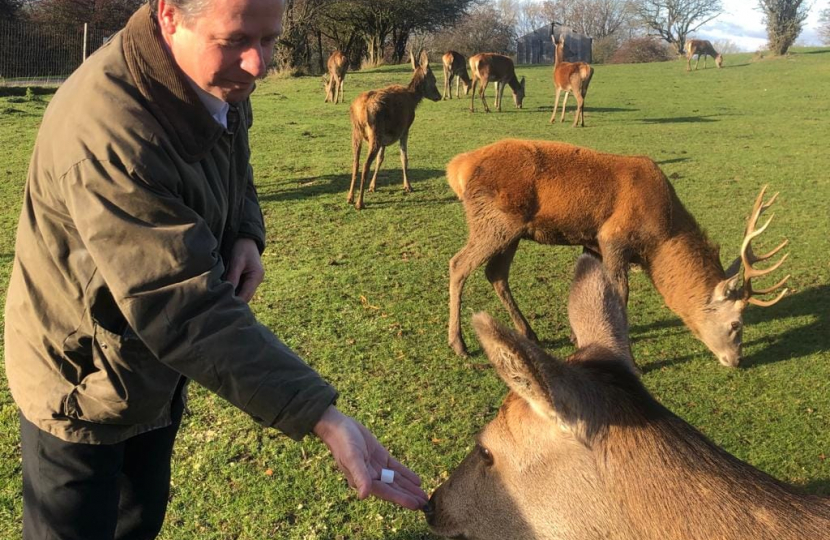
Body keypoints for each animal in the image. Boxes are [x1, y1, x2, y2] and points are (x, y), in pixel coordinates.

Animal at [348, 49, 446, 209]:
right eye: (434, 79)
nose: (439, 96)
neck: (413, 99)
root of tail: (359, 109)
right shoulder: (405, 128)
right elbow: (403, 157)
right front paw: (408, 186)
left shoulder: (384, 138)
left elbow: (380, 159)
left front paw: (373, 186)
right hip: (375, 132)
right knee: (365, 164)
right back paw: (359, 203)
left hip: (357, 132)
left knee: (355, 163)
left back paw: (349, 197)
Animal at [448, 139, 792, 368]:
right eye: (736, 324)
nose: (737, 360)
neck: (660, 237)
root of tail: (458, 168)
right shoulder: (613, 238)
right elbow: (618, 293)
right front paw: (632, 360)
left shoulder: (593, 242)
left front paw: (577, 336)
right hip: (495, 222)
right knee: (458, 264)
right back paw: (459, 344)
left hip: (513, 231)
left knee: (495, 273)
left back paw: (528, 333)